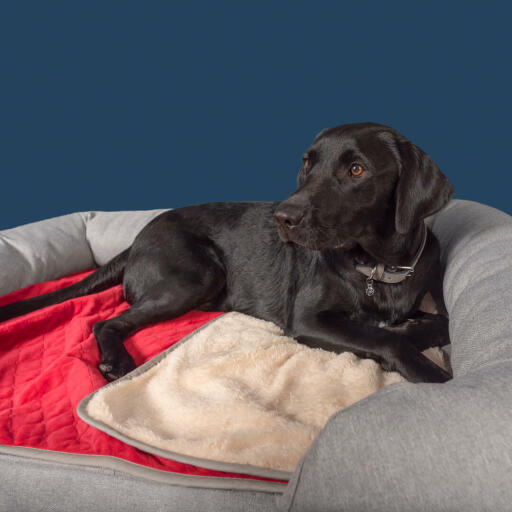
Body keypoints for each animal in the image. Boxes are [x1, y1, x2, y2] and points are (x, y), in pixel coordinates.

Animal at [1, 122, 456, 382]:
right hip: (195, 276)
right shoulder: (308, 320)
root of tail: (138, 237)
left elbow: (438, 322)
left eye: (357, 169)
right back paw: (116, 360)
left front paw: (411, 329)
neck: (377, 266)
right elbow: (386, 339)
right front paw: (429, 372)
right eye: (307, 164)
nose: (283, 217)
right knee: (106, 323)